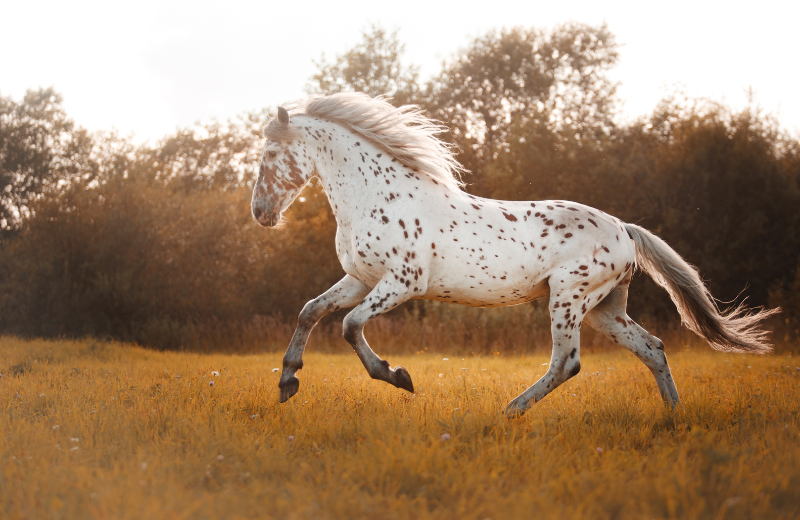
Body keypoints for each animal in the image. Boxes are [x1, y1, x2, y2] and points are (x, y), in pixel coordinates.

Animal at [251, 92, 777, 416]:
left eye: (270, 155)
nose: (260, 213)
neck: (378, 195)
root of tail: (624, 230)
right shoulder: (361, 278)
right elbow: (310, 311)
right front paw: (287, 383)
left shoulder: (402, 282)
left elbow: (349, 325)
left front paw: (398, 377)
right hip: (605, 309)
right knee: (653, 348)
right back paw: (672, 415)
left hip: (568, 298)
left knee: (567, 363)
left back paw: (509, 411)